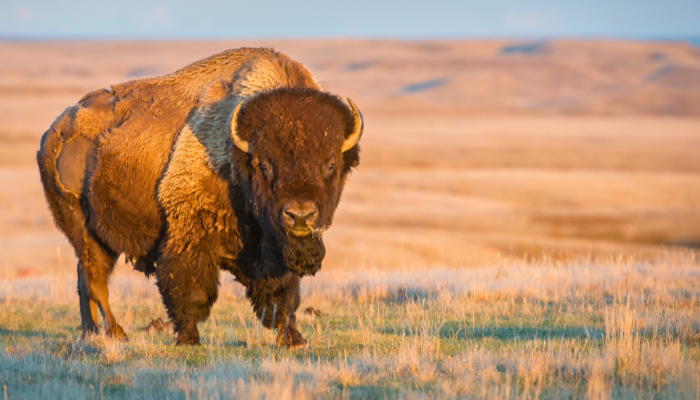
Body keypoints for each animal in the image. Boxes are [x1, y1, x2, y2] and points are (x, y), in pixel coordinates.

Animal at [35, 47, 364, 346]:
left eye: (331, 164)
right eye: (265, 165)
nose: (300, 216)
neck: (237, 157)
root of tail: (54, 132)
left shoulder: (274, 251)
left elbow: (282, 296)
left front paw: (294, 340)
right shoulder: (189, 234)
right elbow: (189, 290)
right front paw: (188, 339)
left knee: (85, 279)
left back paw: (91, 333)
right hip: (83, 229)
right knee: (95, 279)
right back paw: (117, 334)